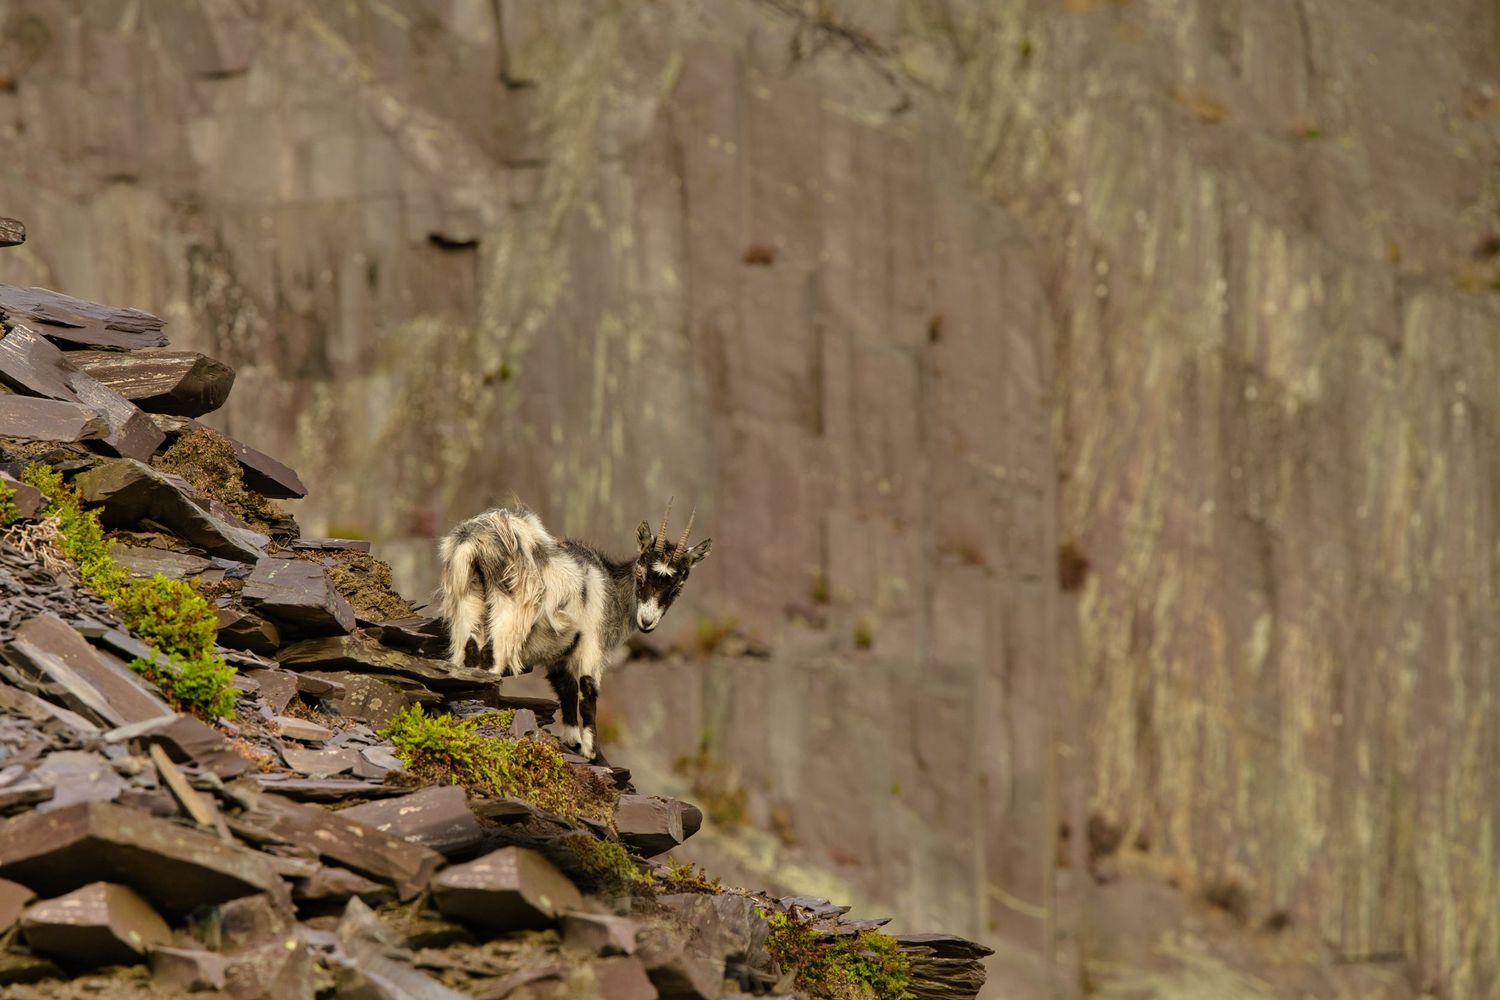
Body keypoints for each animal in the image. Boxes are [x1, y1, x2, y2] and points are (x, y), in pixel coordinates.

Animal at [438, 499, 712, 758]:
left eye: (677, 586)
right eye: (641, 573)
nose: (647, 621)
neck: (611, 586)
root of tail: (475, 539)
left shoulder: (560, 653)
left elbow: (566, 689)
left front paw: (573, 741)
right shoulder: (592, 641)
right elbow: (587, 691)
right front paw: (592, 752)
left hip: (467, 599)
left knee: (470, 650)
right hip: (511, 604)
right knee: (491, 655)